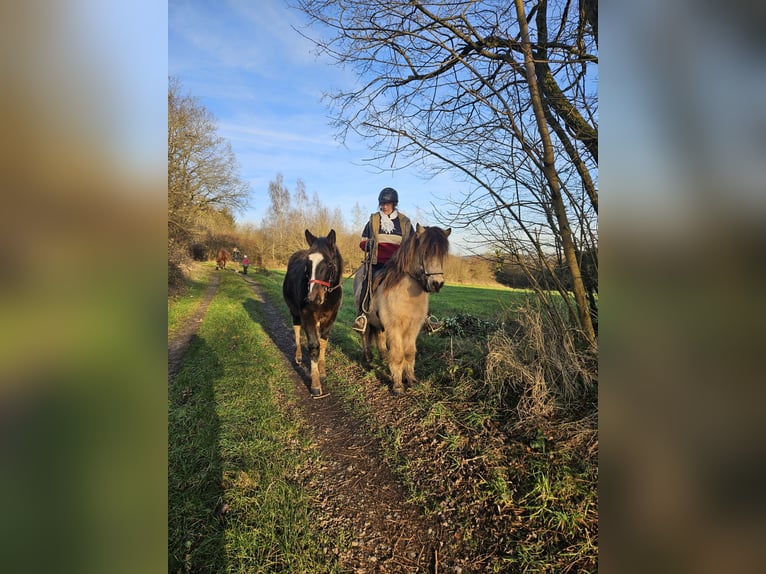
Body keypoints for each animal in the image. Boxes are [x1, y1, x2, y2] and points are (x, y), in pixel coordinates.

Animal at [284, 230, 344, 396]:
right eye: (307, 263)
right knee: (297, 330)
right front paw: (316, 384)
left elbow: (323, 342)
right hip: (295, 313)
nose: (313, 298)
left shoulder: (330, 318)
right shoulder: (307, 316)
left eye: (329, 263)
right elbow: (313, 345)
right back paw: (298, 357)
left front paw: (321, 371)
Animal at [354, 224, 450, 396]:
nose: (437, 284)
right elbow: (398, 355)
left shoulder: (413, 328)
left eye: (442, 255)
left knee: (379, 337)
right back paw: (368, 358)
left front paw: (411, 380)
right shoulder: (395, 327)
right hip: (363, 317)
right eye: (424, 252)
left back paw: (384, 357)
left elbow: (410, 353)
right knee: (365, 335)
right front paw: (398, 385)